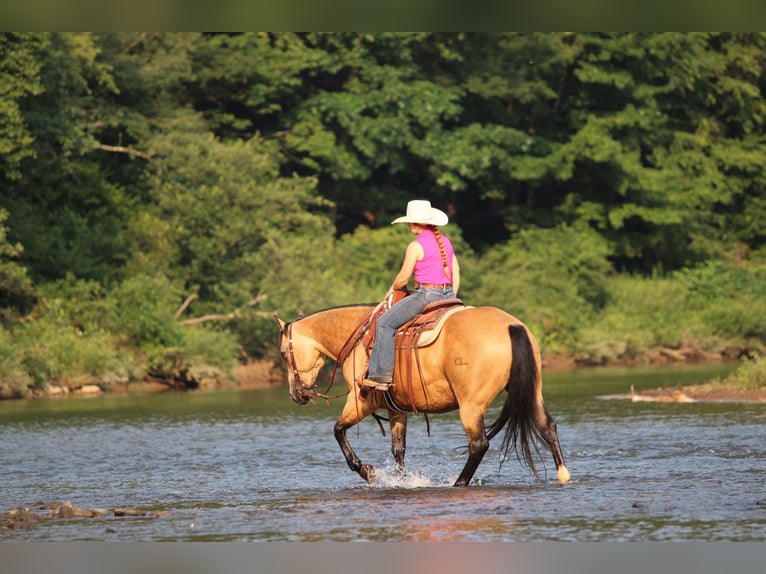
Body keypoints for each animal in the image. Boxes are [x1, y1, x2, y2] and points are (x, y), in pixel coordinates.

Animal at [274, 303, 570, 487]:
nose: (295, 395)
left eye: (282, 354)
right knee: (548, 427)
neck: (359, 336)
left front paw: (366, 471)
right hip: (533, 393)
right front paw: (401, 481)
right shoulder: (396, 408)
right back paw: (563, 475)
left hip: (471, 406)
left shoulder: (361, 400)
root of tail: (511, 326)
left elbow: (338, 430)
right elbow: (398, 449)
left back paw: (458, 483)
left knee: (479, 445)